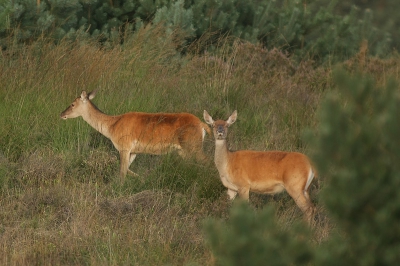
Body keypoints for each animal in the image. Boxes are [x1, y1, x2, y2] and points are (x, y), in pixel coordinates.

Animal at [61, 90, 211, 182]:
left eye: (73, 104)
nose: (62, 114)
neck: (112, 126)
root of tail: (202, 125)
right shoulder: (133, 151)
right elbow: (126, 169)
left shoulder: (124, 148)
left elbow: (122, 172)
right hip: (183, 151)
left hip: (193, 147)